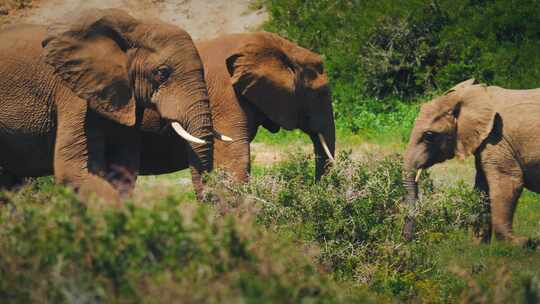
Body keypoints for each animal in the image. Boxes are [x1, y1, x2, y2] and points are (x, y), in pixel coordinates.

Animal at [402, 78, 540, 245]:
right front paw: (477, 244)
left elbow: (509, 182)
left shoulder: (497, 138)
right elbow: (481, 188)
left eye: (428, 136)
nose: (407, 239)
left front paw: (518, 243)